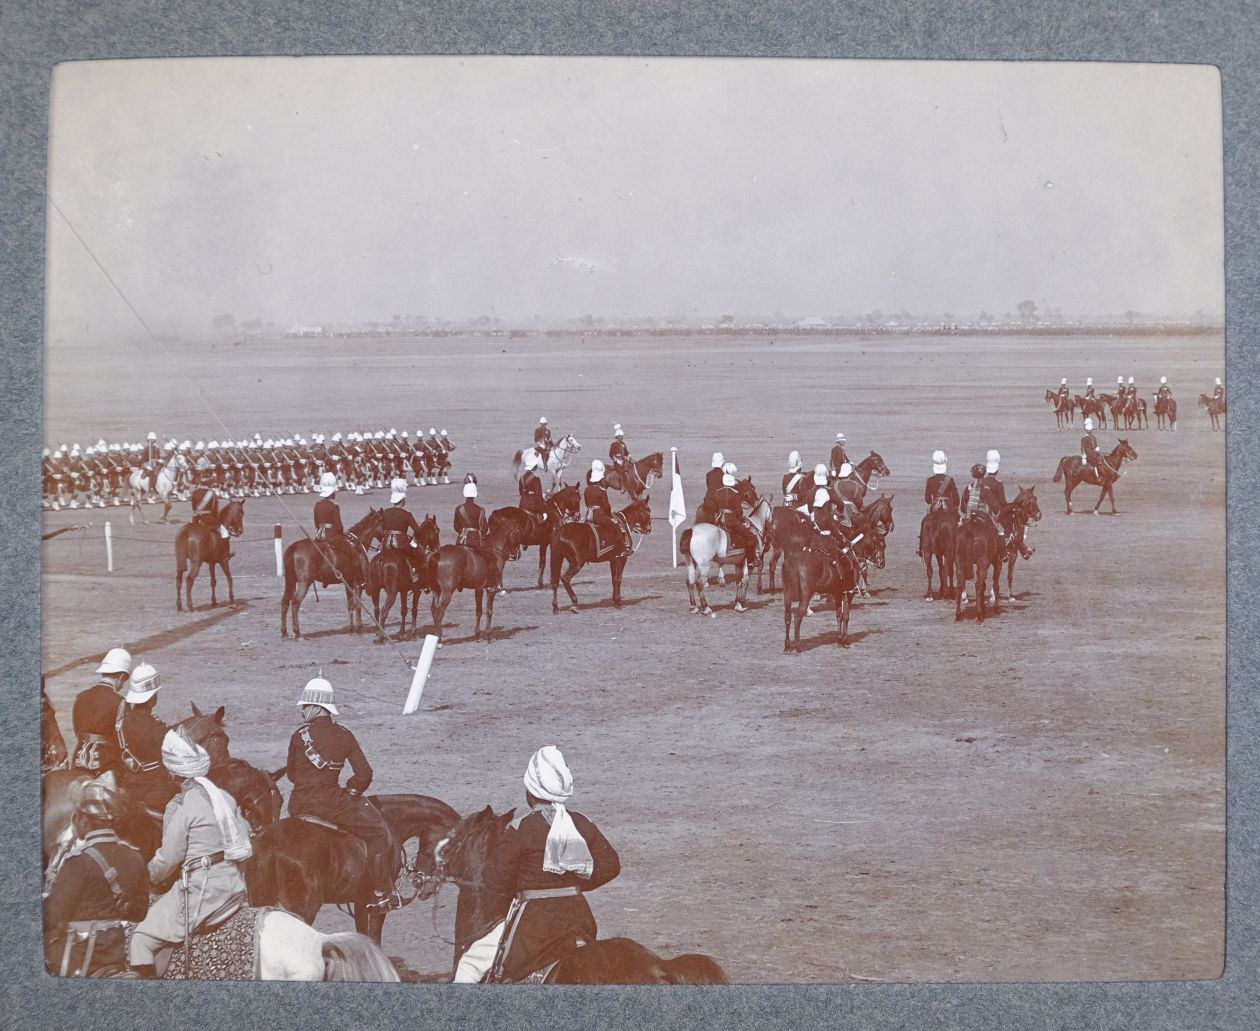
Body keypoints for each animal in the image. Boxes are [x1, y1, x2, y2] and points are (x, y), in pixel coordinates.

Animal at [243, 791, 461, 942]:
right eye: (449, 848)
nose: (423, 883)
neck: (390, 823)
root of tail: (271, 845)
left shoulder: (361, 902)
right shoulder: (376, 906)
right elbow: (374, 939)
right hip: (303, 910)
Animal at [280, 506, 383, 635]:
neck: (357, 543)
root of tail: (294, 548)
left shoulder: (349, 584)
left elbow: (350, 606)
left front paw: (351, 629)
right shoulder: (357, 584)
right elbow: (358, 605)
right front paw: (359, 628)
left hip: (290, 581)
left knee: (285, 601)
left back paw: (284, 632)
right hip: (304, 582)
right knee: (295, 602)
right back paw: (297, 632)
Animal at [367, 509, 441, 637]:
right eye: (437, 530)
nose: (437, 548)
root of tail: (381, 558)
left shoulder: (403, 590)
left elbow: (404, 610)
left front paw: (402, 632)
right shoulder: (417, 590)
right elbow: (414, 610)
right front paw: (413, 632)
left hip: (376, 591)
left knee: (377, 610)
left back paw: (378, 633)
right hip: (391, 593)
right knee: (384, 611)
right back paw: (382, 637)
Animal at [680, 478, 766, 615]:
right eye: (752, 488)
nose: (756, 501)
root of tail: (692, 530)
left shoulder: (739, 563)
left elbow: (739, 582)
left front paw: (738, 603)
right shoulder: (749, 563)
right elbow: (745, 582)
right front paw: (741, 603)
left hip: (690, 561)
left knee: (690, 581)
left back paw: (694, 606)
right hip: (704, 564)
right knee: (699, 583)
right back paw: (706, 608)